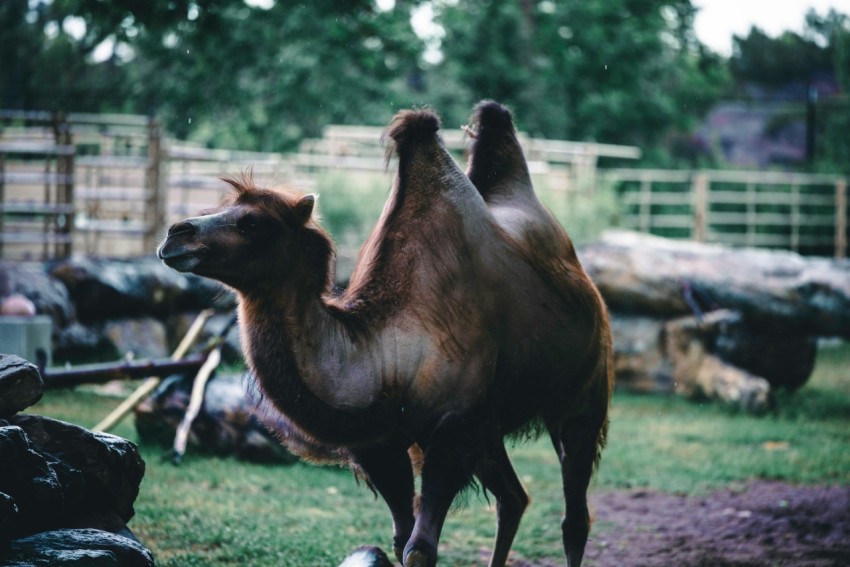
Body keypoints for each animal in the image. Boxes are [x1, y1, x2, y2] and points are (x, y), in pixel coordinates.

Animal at [157, 102, 608, 567]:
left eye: (251, 223)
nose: (176, 233)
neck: (387, 359)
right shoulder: (383, 446)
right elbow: (399, 537)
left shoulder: (452, 430)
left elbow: (419, 548)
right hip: (489, 428)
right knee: (513, 499)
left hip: (583, 394)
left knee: (573, 513)